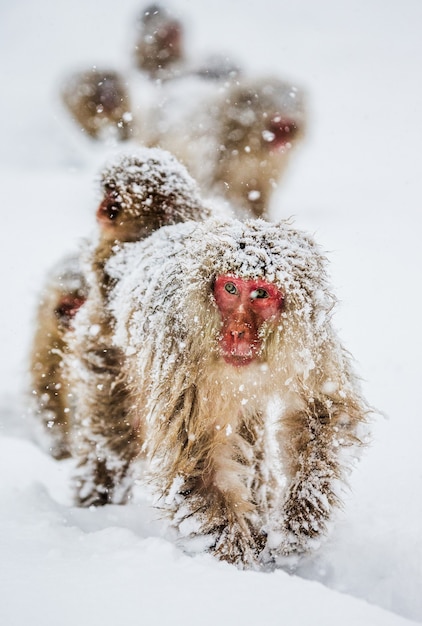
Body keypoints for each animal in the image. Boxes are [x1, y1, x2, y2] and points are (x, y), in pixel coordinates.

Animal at [69, 214, 370, 564]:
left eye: (261, 293)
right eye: (230, 288)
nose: (237, 331)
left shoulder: (309, 339)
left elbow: (323, 411)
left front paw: (299, 521)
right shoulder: (179, 354)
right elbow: (196, 459)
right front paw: (235, 558)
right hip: (103, 347)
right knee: (112, 440)